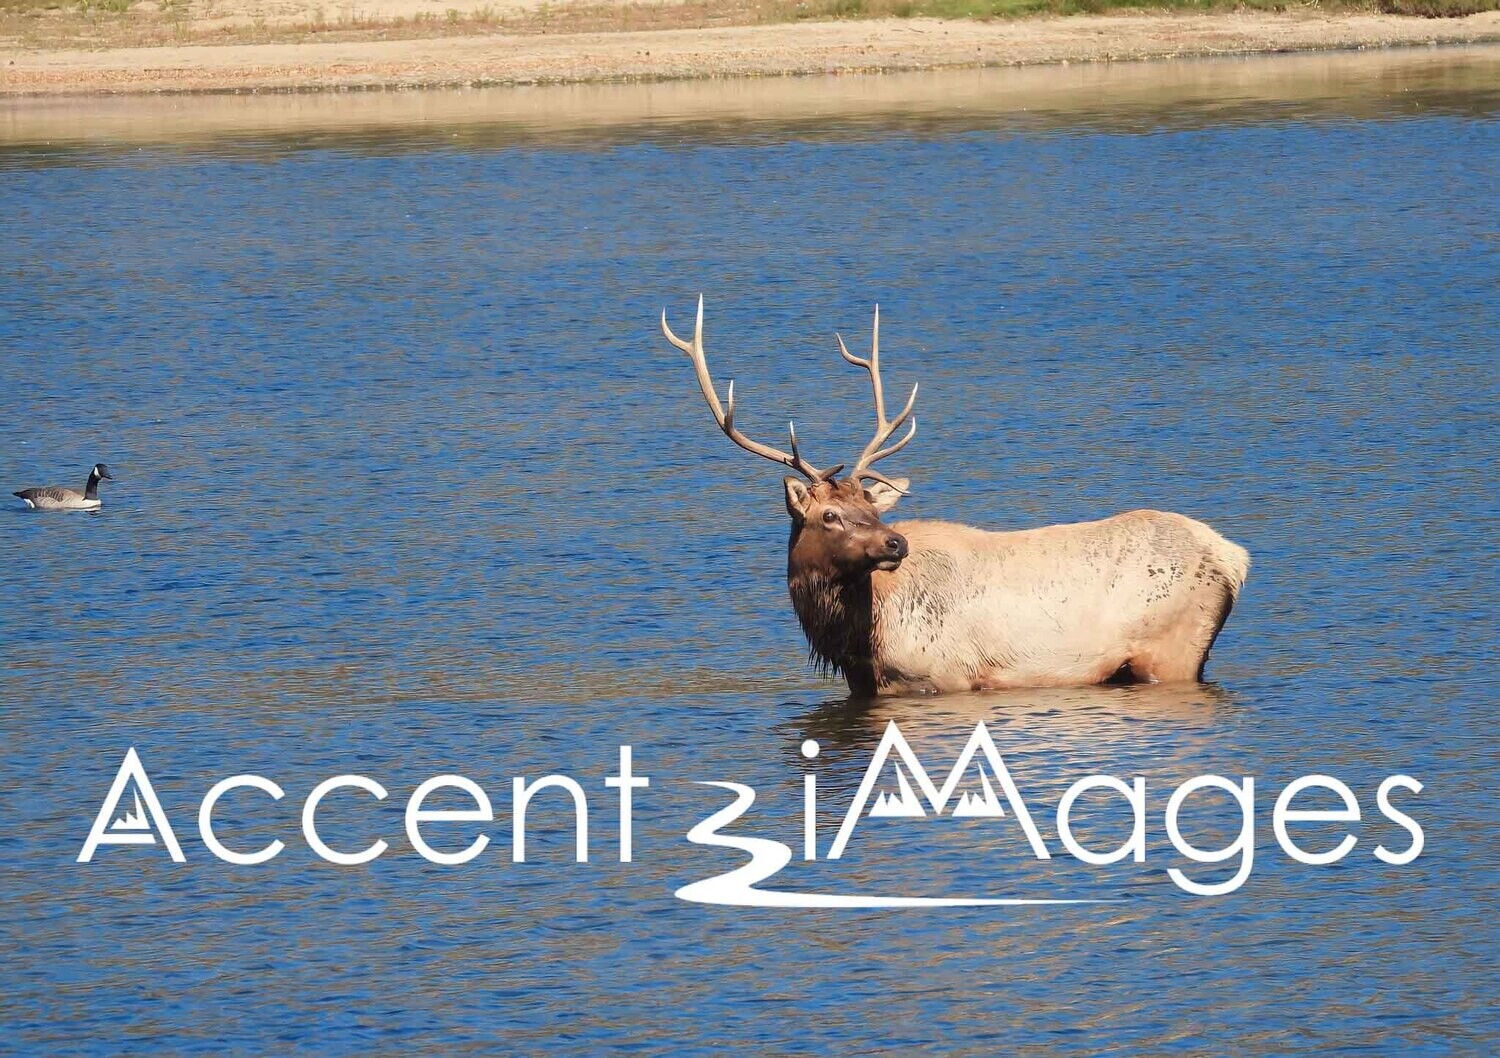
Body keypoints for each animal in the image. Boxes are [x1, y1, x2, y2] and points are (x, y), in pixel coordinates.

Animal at [661, 297, 1250, 697]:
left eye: (871, 507)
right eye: (830, 514)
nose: (895, 544)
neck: (858, 642)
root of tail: (1233, 557)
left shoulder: (946, 676)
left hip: (1171, 649)